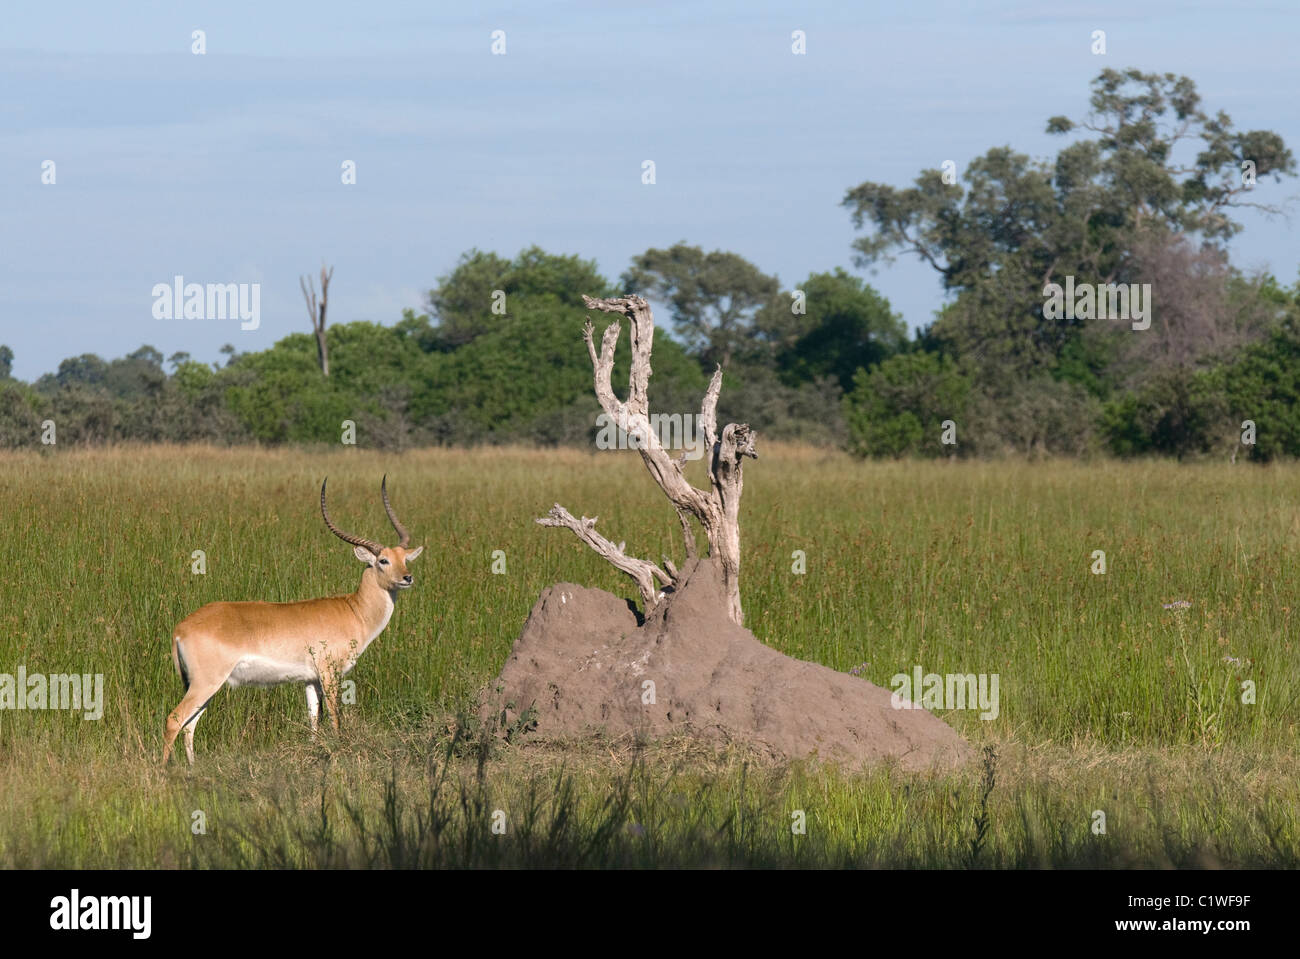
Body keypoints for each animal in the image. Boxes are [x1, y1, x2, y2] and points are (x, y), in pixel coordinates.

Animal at [162, 475, 423, 764]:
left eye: (404, 558)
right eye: (383, 560)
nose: (407, 577)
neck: (353, 610)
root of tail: (181, 627)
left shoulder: (309, 680)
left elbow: (313, 721)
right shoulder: (330, 675)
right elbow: (335, 718)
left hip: (204, 686)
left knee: (190, 725)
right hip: (206, 682)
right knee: (174, 719)